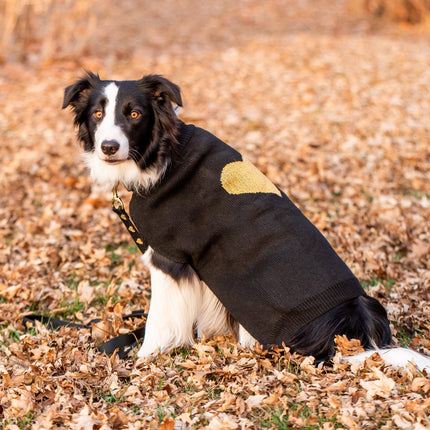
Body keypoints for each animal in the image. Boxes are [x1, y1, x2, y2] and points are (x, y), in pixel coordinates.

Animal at [63, 73, 430, 370]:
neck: (163, 154)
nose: (109, 148)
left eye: (135, 114)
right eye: (98, 114)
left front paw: (145, 357)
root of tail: (356, 334)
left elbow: (160, 318)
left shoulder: (170, 257)